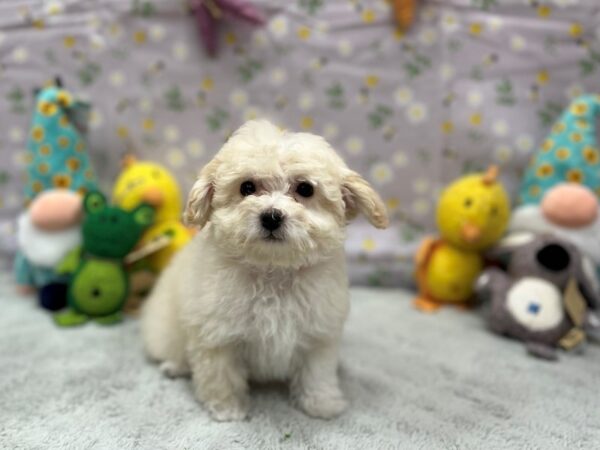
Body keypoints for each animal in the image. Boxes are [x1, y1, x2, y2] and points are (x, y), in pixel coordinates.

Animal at [141, 120, 390, 422]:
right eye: (247, 187)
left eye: (305, 189)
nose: (271, 216)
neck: (273, 271)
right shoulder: (217, 335)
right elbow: (220, 374)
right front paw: (226, 409)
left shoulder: (318, 335)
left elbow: (317, 373)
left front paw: (322, 404)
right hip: (165, 332)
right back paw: (175, 366)